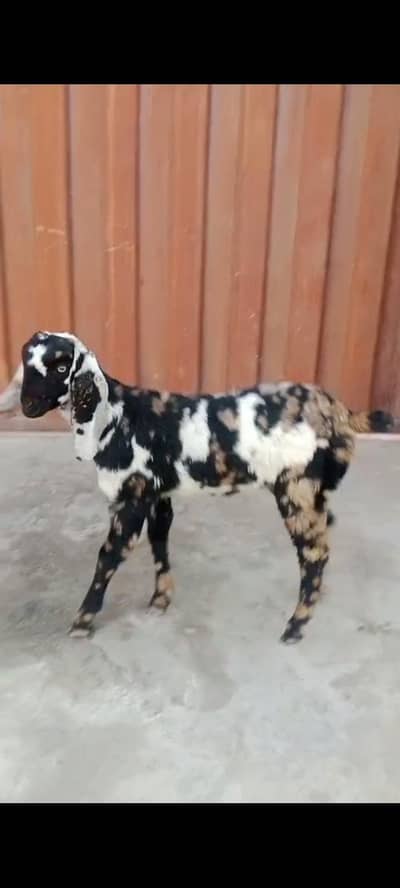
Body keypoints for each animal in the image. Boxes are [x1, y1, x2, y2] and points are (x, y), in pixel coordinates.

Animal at [0, 330, 394, 643]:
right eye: (26, 362)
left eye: (61, 367)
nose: (27, 404)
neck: (117, 416)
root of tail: (338, 411)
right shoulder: (158, 495)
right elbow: (159, 543)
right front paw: (160, 600)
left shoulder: (131, 499)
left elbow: (108, 557)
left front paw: (82, 622)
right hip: (316, 490)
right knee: (325, 538)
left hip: (296, 489)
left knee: (314, 554)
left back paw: (295, 627)